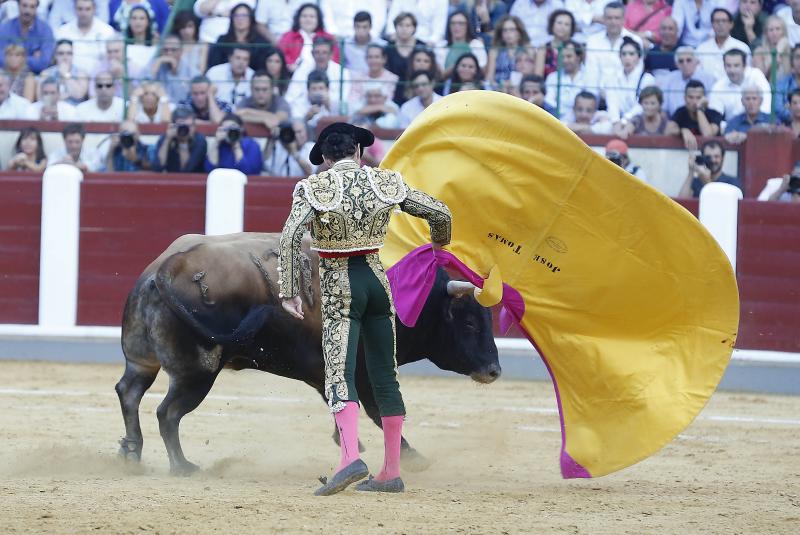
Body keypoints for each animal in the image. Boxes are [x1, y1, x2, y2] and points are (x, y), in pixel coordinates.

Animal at [115, 232, 500, 476]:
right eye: (468, 323)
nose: (494, 370)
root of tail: (162, 270)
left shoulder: (326, 372)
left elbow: (341, 406)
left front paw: (350, 444)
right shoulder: (363, 369)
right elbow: (378, 411)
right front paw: (412, 457)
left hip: (142, 361)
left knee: (129, 393)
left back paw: (131, 453)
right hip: (197, 373)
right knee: (167, 413)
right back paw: (182, 467)